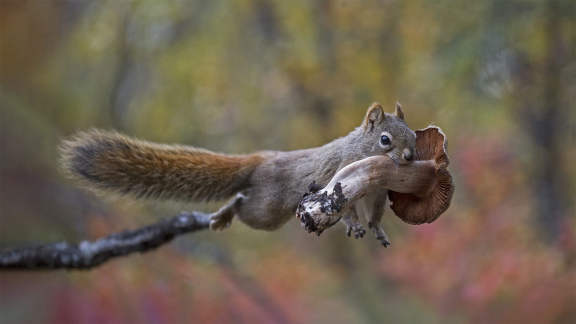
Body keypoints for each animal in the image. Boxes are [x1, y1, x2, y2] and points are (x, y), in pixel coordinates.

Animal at [60, 102, 416, 247]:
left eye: (413, 135)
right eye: (385, 140)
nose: (411, 157)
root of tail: (261, 160)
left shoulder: (377, 195)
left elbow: (376, 216)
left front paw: (378, 230)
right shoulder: (341, 178)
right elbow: (345, 209)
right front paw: (353, 225)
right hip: (267, 210)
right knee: (243, 201)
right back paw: (225, 213)